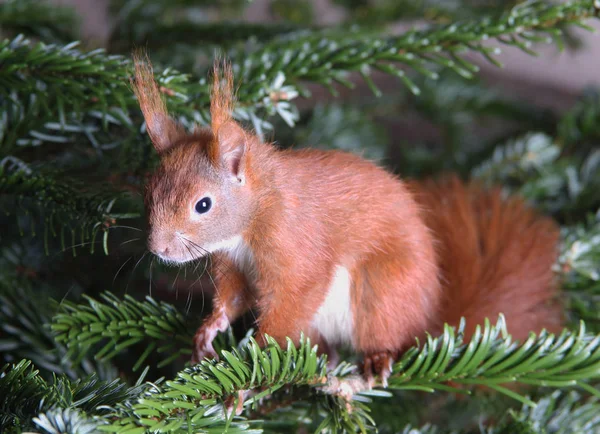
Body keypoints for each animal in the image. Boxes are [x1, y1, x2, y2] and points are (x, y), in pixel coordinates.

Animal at [131, 56, 564, 386]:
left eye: (203, 205)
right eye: (148, 190)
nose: (158, 249)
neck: (254, 217)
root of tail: (429, 316)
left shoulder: (297, 246)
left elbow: (293, 301)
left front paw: (254, 363)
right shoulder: (234, 265)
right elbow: (232, 297)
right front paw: (207, 331)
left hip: (383, 291)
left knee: (387, 334)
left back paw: (376, 359)